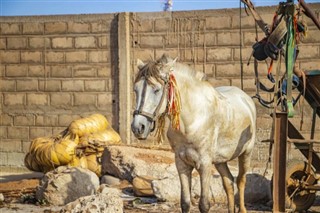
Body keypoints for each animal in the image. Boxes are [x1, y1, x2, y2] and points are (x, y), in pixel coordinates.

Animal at [131, 55, 256, 213]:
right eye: (135, 89)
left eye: (157, 90)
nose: (138, 127)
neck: (192, 121)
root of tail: (246, 98)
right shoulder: (182, 164)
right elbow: (185, 202)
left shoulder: (205, 164)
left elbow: (204, 204)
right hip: (220, 161)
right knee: (228, 182)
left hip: (246, 153)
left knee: (240, 180)